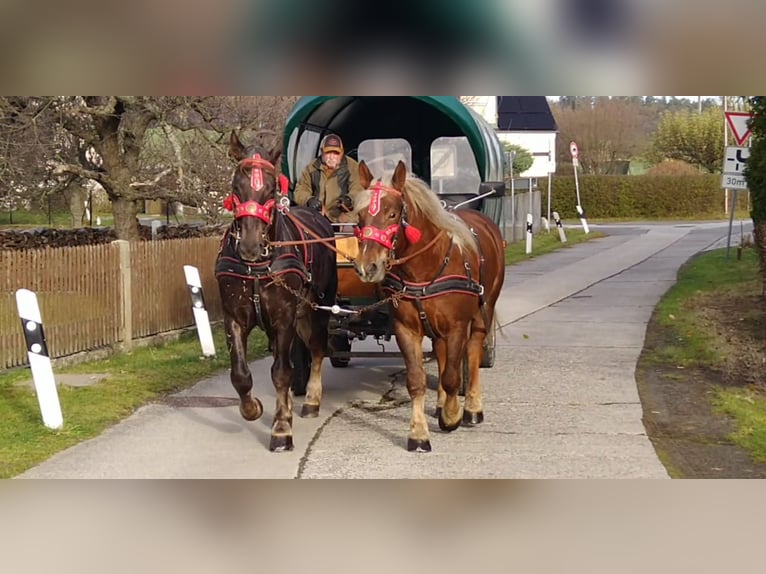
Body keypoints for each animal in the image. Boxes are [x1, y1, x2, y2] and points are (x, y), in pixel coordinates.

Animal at [214, 133, 338, 452]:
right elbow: (240, 374)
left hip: (317, 308)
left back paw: (311, 399)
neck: (258, 264)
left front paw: (282, 428)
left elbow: (282, 372)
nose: (249, 245)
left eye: (270, 188)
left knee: (317, 349)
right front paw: (252, 408)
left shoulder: (284, 319)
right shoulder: (234, 317)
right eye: (236, 186)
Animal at [354, 161, 510, 454]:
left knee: (473, 351)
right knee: (440, 352)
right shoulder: (406, 329)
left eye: (393, 214)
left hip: (484, 309)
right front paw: (418, 434)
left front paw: (452, 415)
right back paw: (440, 404)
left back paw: (472, 407)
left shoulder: (458, 327)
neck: (426, 267)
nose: (367, 267)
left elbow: (451, 376)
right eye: (359, 217)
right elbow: (417, 381)